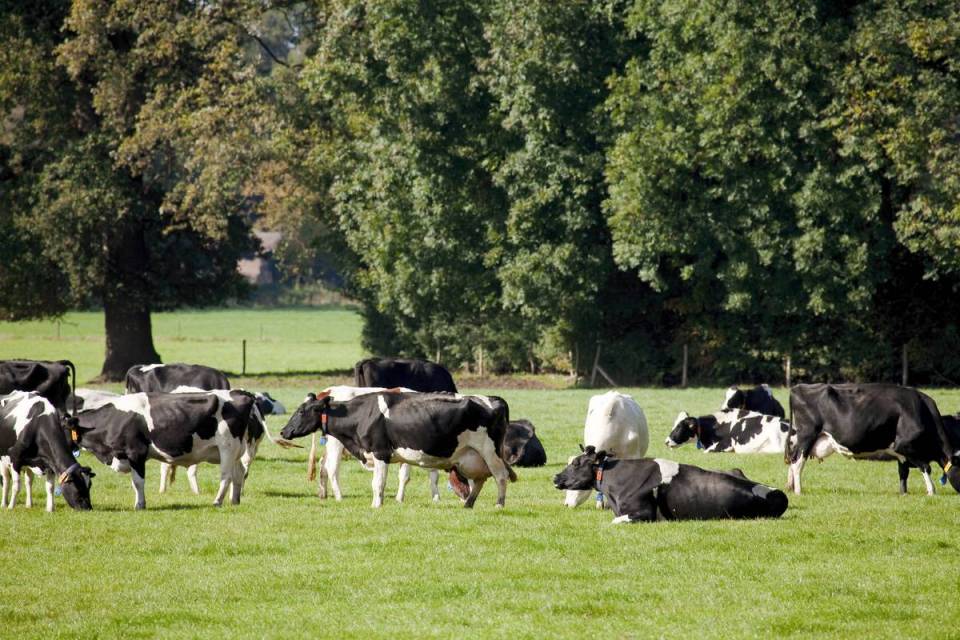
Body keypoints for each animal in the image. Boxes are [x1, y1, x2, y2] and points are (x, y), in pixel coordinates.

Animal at [71, 390, 292, 510]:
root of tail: (243, 393)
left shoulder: (136, 453)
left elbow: (138, 482)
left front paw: (140, 505)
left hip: (227, 448)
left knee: (226, 476)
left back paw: (217, 501)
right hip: (237, 450)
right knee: (238, 475)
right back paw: (234, 500)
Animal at [282, 390, 512, 510]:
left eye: (301, 411)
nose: (284, 431)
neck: (363, 414)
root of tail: (494, 399)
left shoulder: (380, 452)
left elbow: (378, 483)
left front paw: (376, 506)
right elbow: (377, 483)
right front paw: (378, 504)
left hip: (490, 452)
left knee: (500, 476)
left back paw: (499, 505)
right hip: (473, 456)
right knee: (481, 479)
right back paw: (469, 504)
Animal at [784, 382, 960, 498]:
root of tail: (798, 387)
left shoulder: (902, 455)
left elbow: (903, 473)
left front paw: (903, 493)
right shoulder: (904, 445)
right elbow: (925, 467)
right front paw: (931, 491)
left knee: (792, 460)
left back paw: (790, 487)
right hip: (807, 436)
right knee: (798, 462)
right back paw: (798, 491)